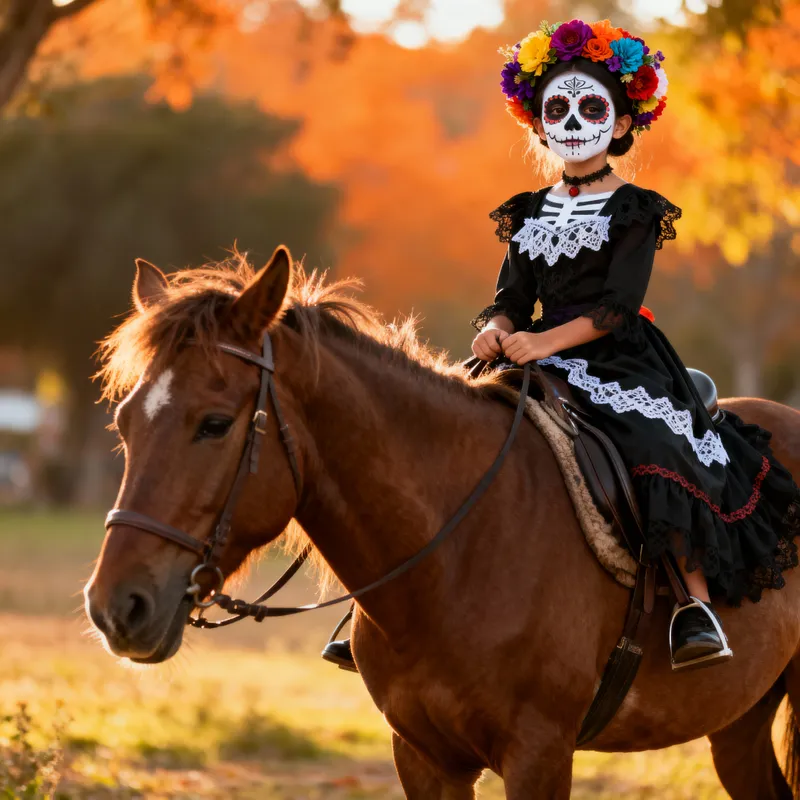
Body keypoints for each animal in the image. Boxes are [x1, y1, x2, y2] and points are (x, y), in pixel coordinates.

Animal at [84, 247, 800, 799]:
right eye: (123, 423)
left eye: (213, 424)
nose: (116, 607)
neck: (454, 558)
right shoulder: (424, 758)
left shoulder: (539, 754)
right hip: (738, 722)